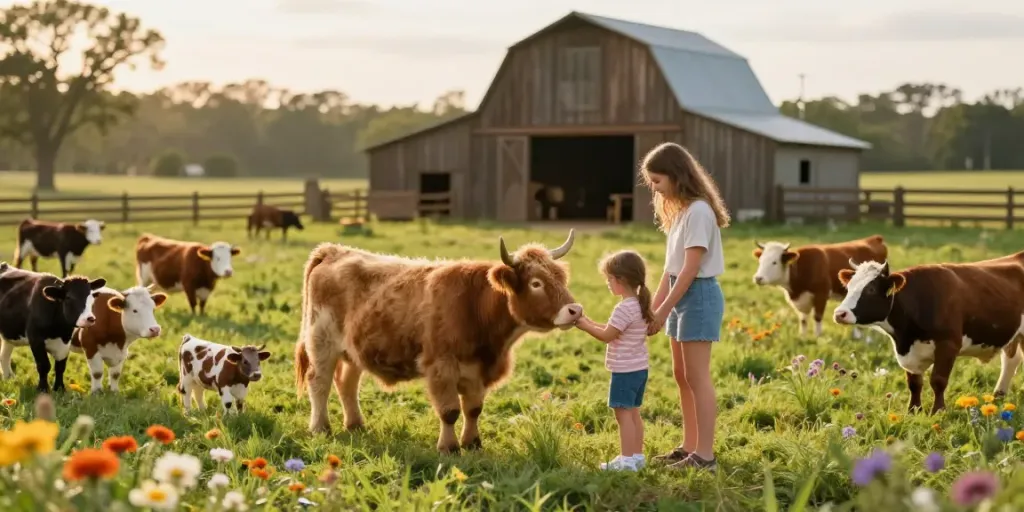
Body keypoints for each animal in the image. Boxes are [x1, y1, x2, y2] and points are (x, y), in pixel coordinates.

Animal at [0, 262, 106, 393]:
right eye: (69, 297)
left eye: (91, 297)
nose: (90, 318)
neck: (58, 330)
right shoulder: (35, 338)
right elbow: (44, 365)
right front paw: (43, 389)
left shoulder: (65, 341)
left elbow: (60, 366)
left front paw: (60, 388)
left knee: (4, 355)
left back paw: (9, 378)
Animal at [293, 229, 583, 454]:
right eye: (536, 283)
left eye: (560, 278)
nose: (575, 310)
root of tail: (334, 250)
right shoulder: (441, 367)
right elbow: (450, 411)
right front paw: (449, 447)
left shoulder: (476, 372)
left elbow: (473, 409)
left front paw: (472, 443)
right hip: (321, 341)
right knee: (319, 382)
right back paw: (320, 428)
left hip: (353, 349)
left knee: (347, 383)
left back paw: (355, 425)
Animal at [752, 235, 888, 339]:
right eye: (760, 261)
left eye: (774, 262)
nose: (758, 278)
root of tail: (874, 238)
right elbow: (803, 319)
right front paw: (802, 336)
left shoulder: (821, 295)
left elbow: (817, 317)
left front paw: (817, 337)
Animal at [833, 255, 1024, 414]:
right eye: (848, 287)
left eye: (871, 289)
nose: (839, 313)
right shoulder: (909, 351)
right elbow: (914, 384)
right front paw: (913, 410)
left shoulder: (948, 344)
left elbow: (938, 381)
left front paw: (938, 411)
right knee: (1011, 360)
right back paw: (998, 396)